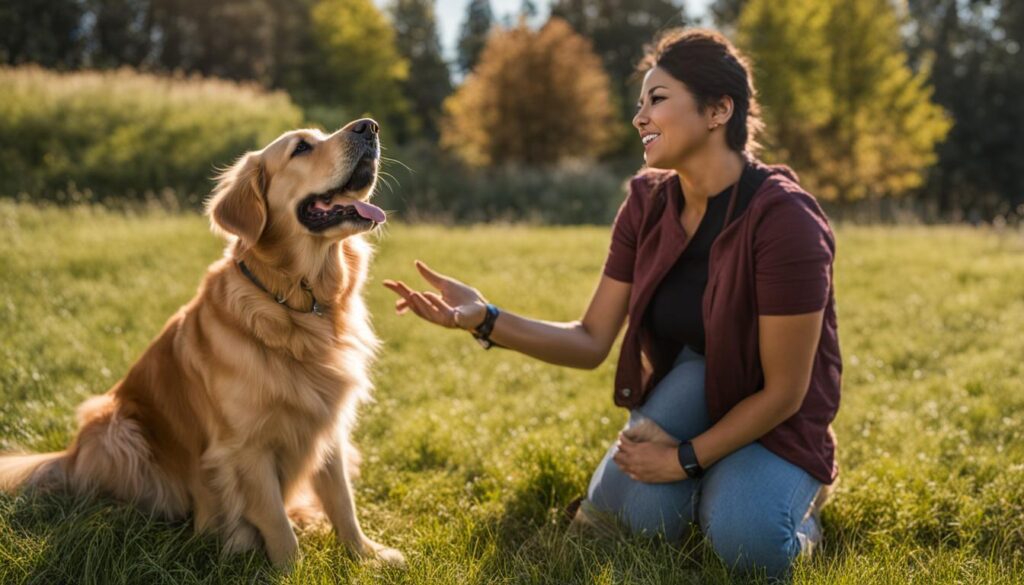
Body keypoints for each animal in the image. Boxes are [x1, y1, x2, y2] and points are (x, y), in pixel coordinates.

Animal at [0, 117, 403, 569]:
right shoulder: (246, 447)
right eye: (301, 148)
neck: (298, 305)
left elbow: (342, 504)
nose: (370, 126)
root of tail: (67, 456)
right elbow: (277, 524)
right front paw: (288, 570)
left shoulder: (327, 427)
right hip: (113, 427)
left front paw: (367, 555)